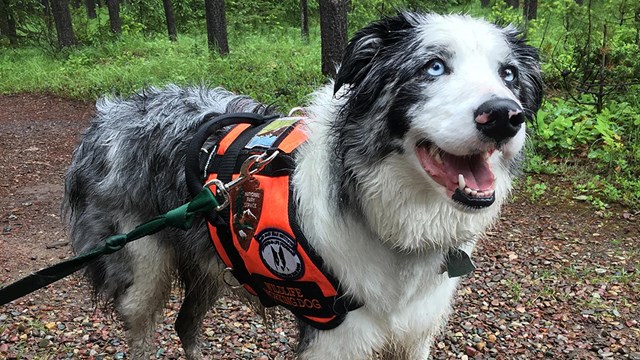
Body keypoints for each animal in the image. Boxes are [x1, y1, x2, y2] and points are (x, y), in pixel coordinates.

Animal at [63, 11, 540, 360]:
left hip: (211, 260)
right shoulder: (334, 334)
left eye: (509, 75)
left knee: (186, 324)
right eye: (434, 66)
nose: (504, 116)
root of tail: (108, 113)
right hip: (143, 266)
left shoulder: (416, 331)